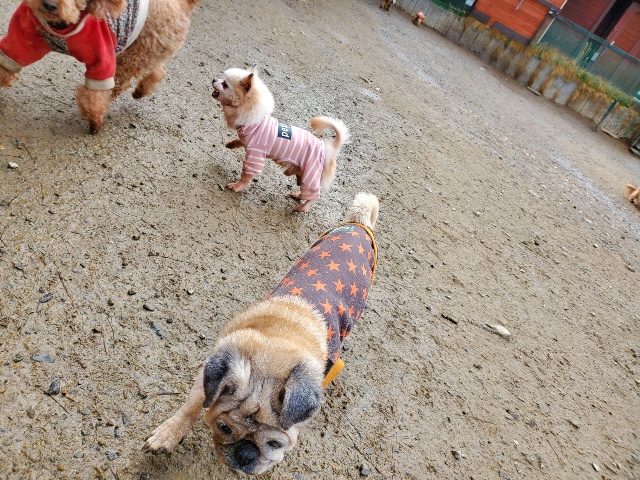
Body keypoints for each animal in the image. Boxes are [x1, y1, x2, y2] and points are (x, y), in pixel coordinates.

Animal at [0, 0, 199, 134]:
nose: (49, 4)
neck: (62, 27)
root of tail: (182, 5)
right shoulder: (27, 33)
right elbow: (10, 58)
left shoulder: (102, 52)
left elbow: (96, 91)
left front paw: (94, 120)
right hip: (147, 49)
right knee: (157, 69)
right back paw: (141, 90)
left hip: (139, 53)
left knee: (122, 80)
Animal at [143, 193, 380, 475]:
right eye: (223, 428)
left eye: (276, 444)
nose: (245, 453)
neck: (278, 343)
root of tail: (358, 223)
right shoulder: (212, 370)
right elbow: (193, 405)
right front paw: (169, 434)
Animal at [211, 67, 349, 212]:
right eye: (221, 79)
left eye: (225, 84)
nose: (214, 79)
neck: (255, 121)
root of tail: (329, 149)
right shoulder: (247, 140)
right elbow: (239, 141)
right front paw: (230, 144)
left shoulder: (256, 155)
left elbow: (246, 175)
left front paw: (238, 186)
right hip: (303, 175)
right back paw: (298, 196)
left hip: (311, 176)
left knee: (314, 196)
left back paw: (302, 208)